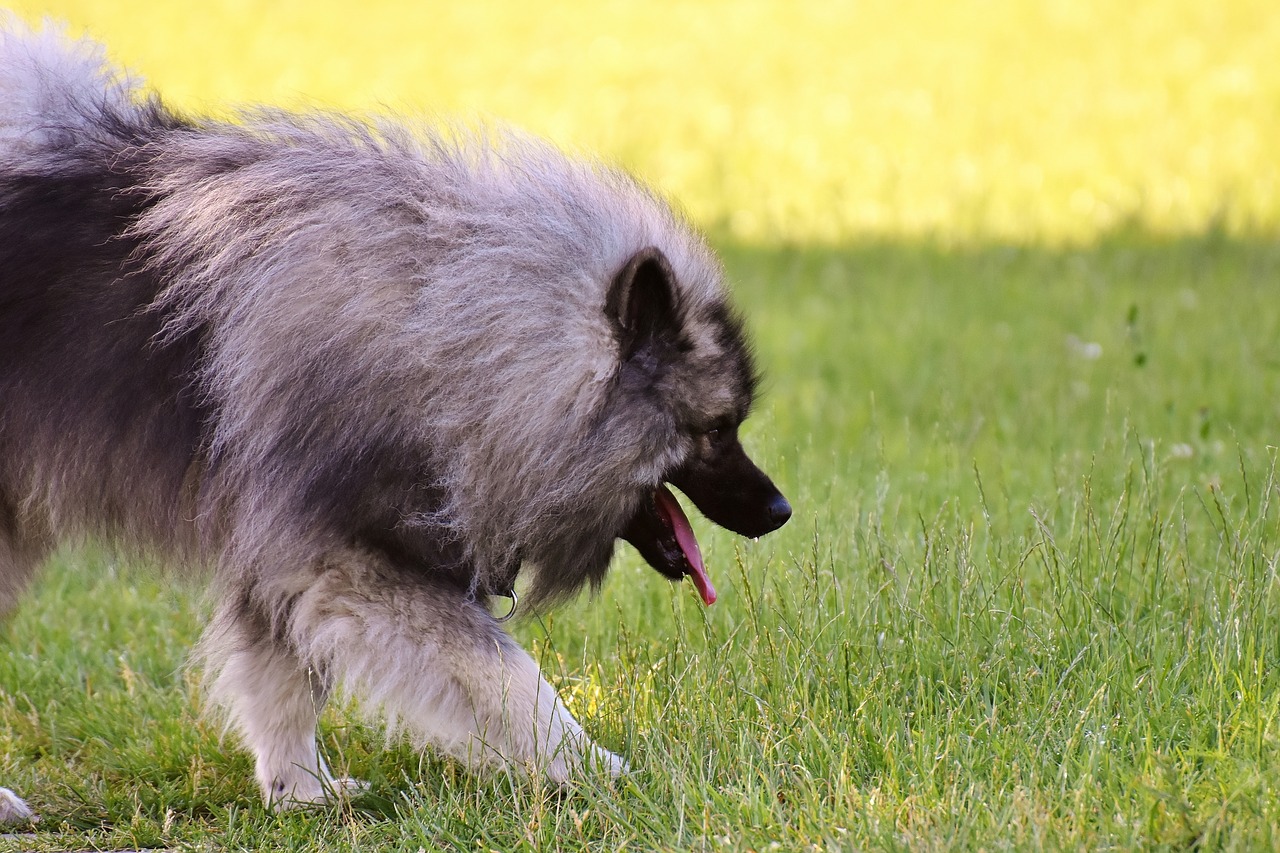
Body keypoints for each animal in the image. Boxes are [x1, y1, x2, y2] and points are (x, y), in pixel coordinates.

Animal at [0, 18, 788, 819]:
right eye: (717, 429)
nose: (781, 509)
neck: (451, 338)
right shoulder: (349, 556)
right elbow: (509, 675)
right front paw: (596, 768)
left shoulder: (287, 550)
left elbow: (285, 684)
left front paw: (300, 789)